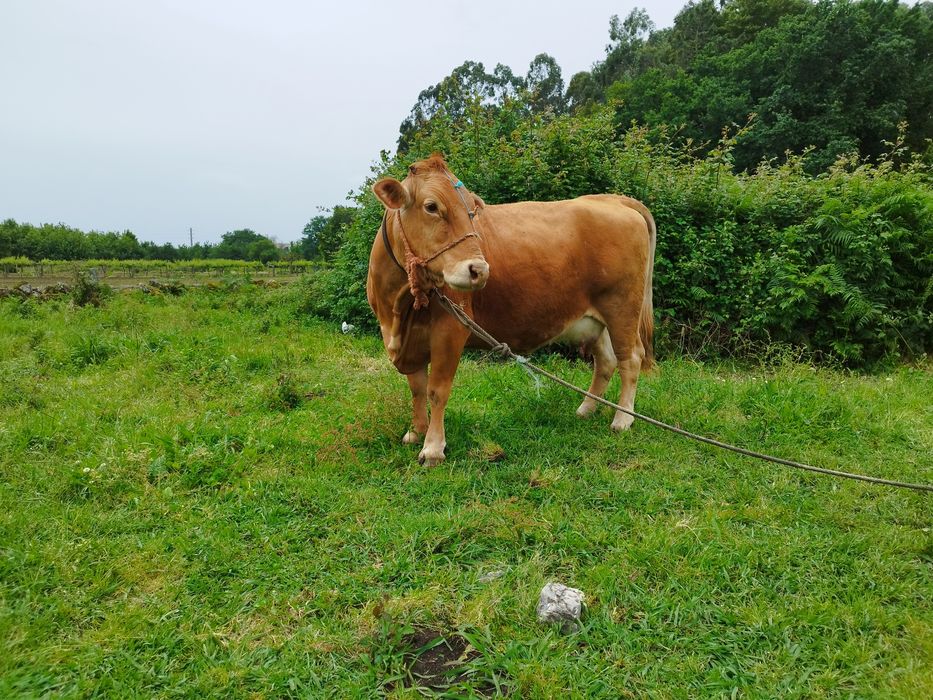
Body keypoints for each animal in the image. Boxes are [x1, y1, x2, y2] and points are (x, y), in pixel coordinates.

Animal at [367, 154, 656, 466]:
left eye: (472, 211)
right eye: (431, 206)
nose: (479, 270)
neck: (398, 309)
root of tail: (613, 199)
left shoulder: (451, 329)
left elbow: (437, 390)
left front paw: (432, 448)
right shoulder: (409, 340)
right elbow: (417, 387)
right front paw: (416, 431)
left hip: (622, 308)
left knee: (631, 358)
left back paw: (622, 419)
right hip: (595, 318)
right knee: (606, 361)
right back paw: (586, 409)